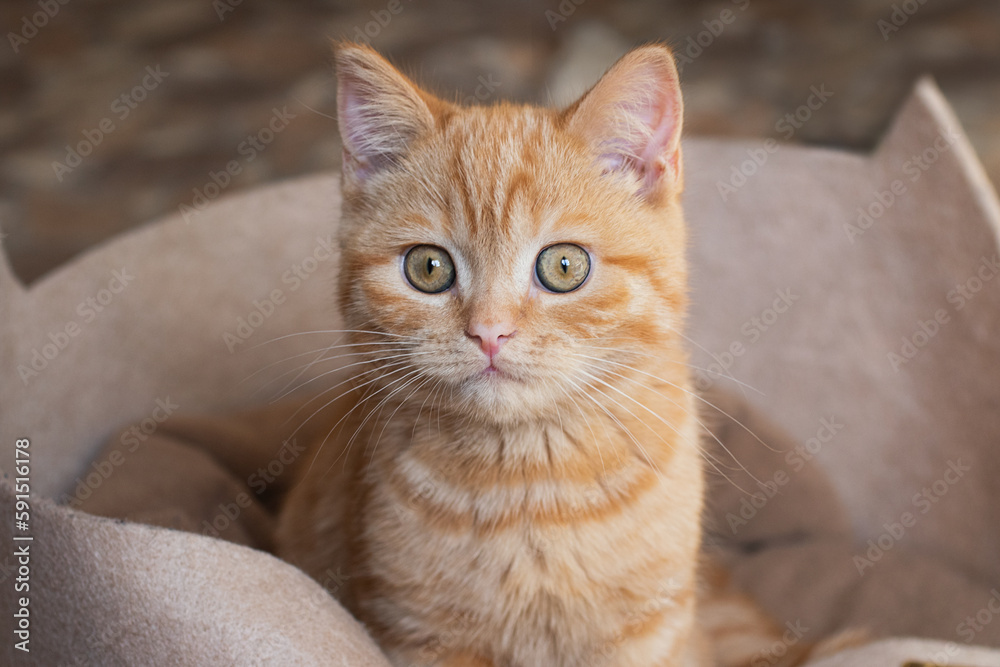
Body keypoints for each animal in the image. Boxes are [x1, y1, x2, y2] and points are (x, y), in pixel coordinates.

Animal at [274, 44, 812, 664]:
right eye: (428, 268)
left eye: (564, 266)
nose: (489, 333)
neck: (531, 484)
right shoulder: (418, 635)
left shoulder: (648, 634)